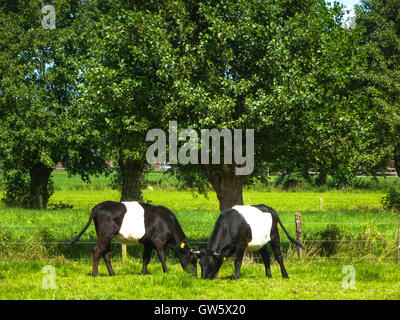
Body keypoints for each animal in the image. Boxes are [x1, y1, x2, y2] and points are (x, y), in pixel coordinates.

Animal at [65, 201, 198, 276]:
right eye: (193, 259)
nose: (195, 275)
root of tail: (100, 205)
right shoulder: (158, 242)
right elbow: (162, 257)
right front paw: (166, 272)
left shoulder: (148, 243)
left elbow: (146, 258)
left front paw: (143, 273)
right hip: (105, 234)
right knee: (97, 251)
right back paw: (95, 274)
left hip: (106, 236)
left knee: (106, 253)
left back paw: (112, 274)